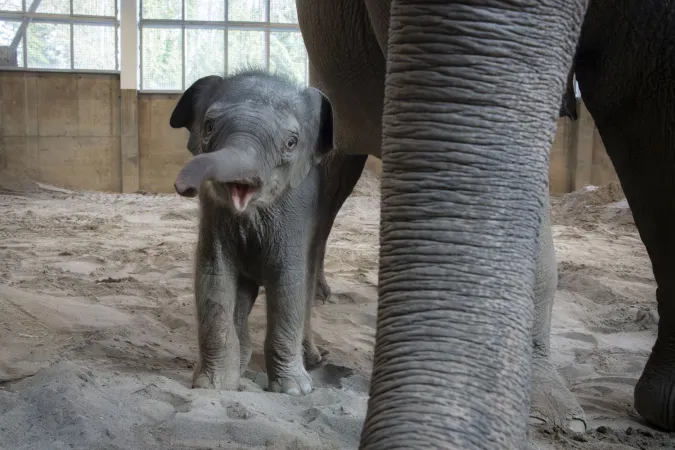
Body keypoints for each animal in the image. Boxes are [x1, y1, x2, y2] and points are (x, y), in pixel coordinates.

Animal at [169, 70, 356, 395]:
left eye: (291, 142)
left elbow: (288, 281)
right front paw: (214, 386)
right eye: (208, 126)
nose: (185, 187)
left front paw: (294, 391)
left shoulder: (296, 213)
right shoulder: (214, 219)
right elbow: (213, 277)